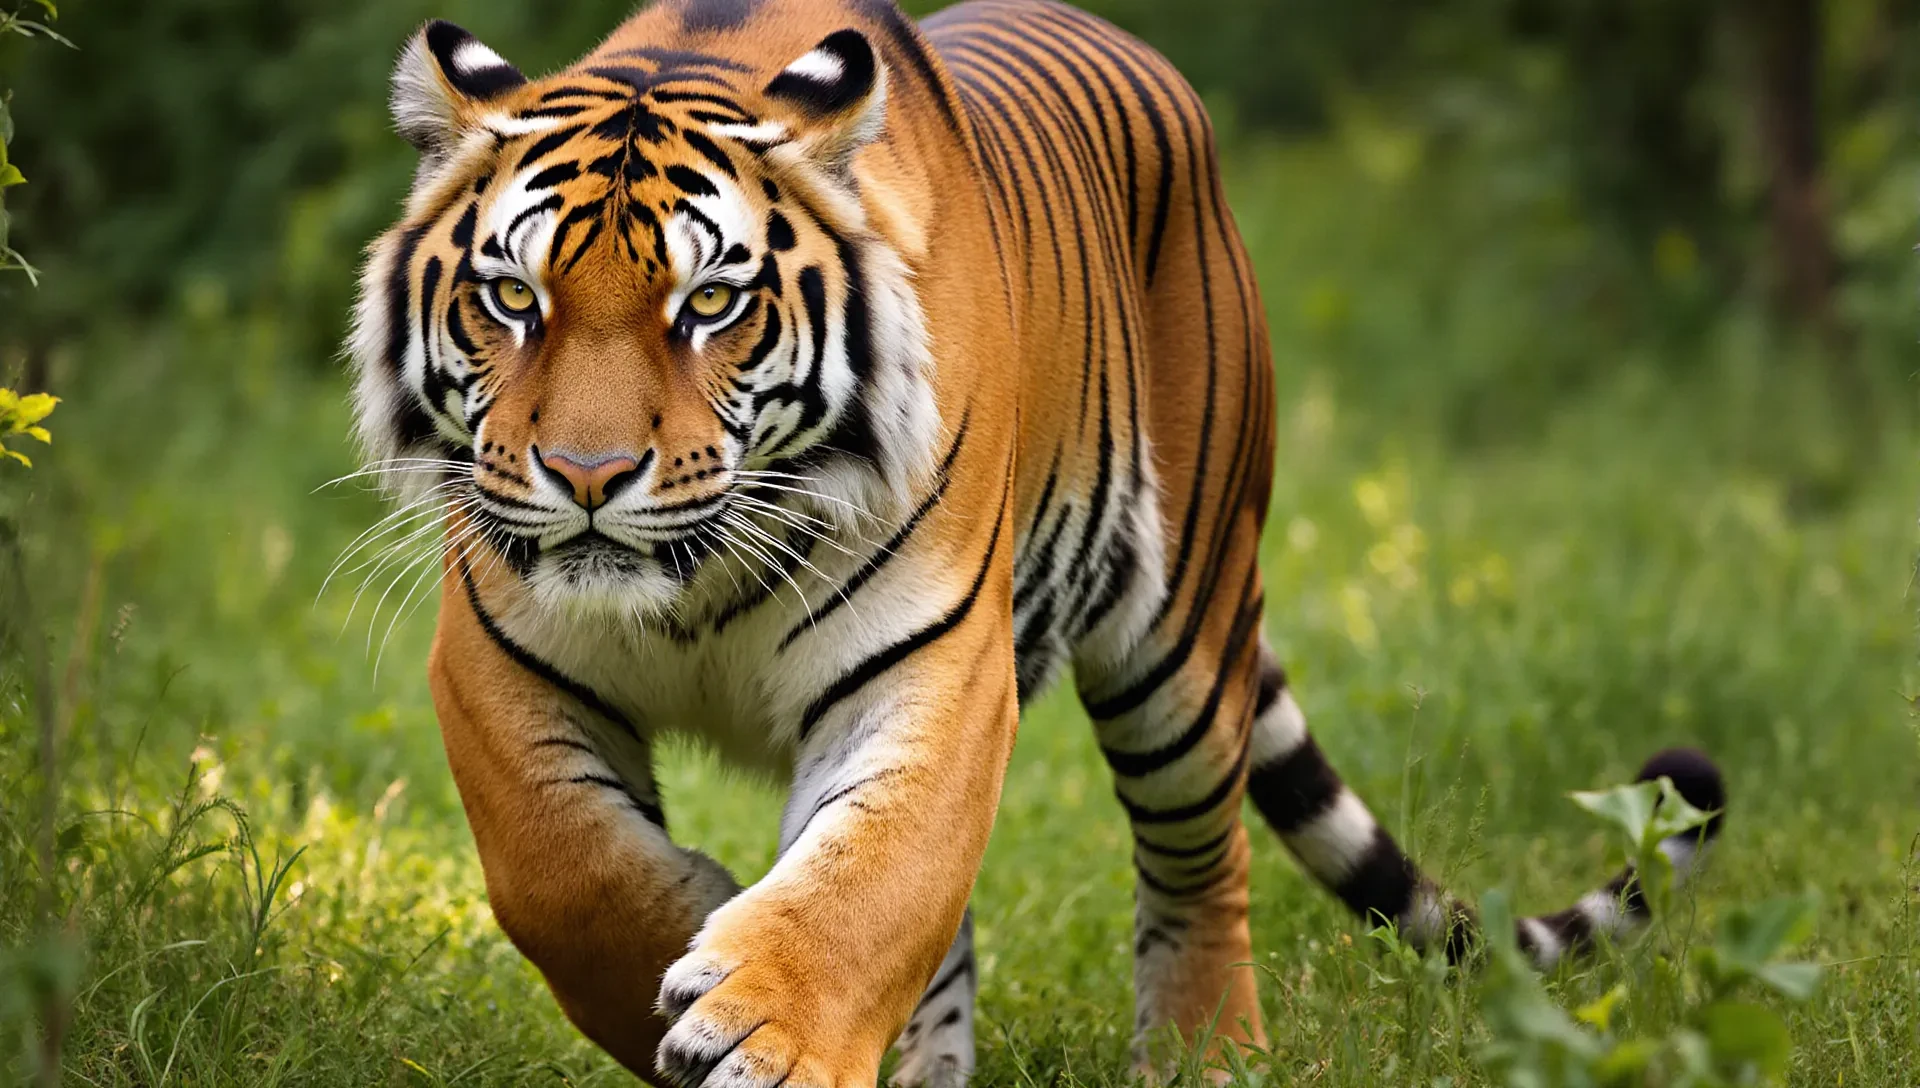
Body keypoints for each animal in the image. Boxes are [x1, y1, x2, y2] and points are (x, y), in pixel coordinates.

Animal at [346, 1, 1727, 1085]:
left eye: (713, 303)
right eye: (513, 296)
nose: (587, 478)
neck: (699, 581)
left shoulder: (936, 667)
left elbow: (870, 878)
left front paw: (759, 1023)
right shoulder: (499, 659)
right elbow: (561, 869)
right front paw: (692, 921)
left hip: (1186, 637)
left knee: (1198, 867)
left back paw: (1206, 1057)